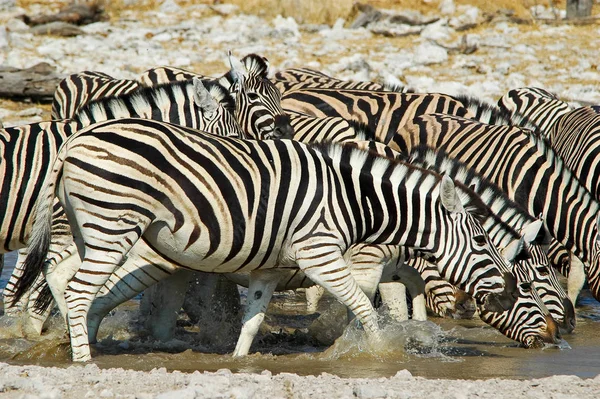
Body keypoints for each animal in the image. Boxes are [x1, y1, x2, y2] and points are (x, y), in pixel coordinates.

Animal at [11, 118, 532, 362]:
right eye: (482, 242)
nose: (507, 290)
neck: (355, 201)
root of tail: (73, 141)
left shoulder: (269, 270)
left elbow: (252, 322)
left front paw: (239, 363)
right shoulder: (321, 253)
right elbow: (364, 307)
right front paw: (380, 351)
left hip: (92, 229)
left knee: (69, 282)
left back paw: (77, 341)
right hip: (115, 226)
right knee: (80, 290)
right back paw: (84, 360)